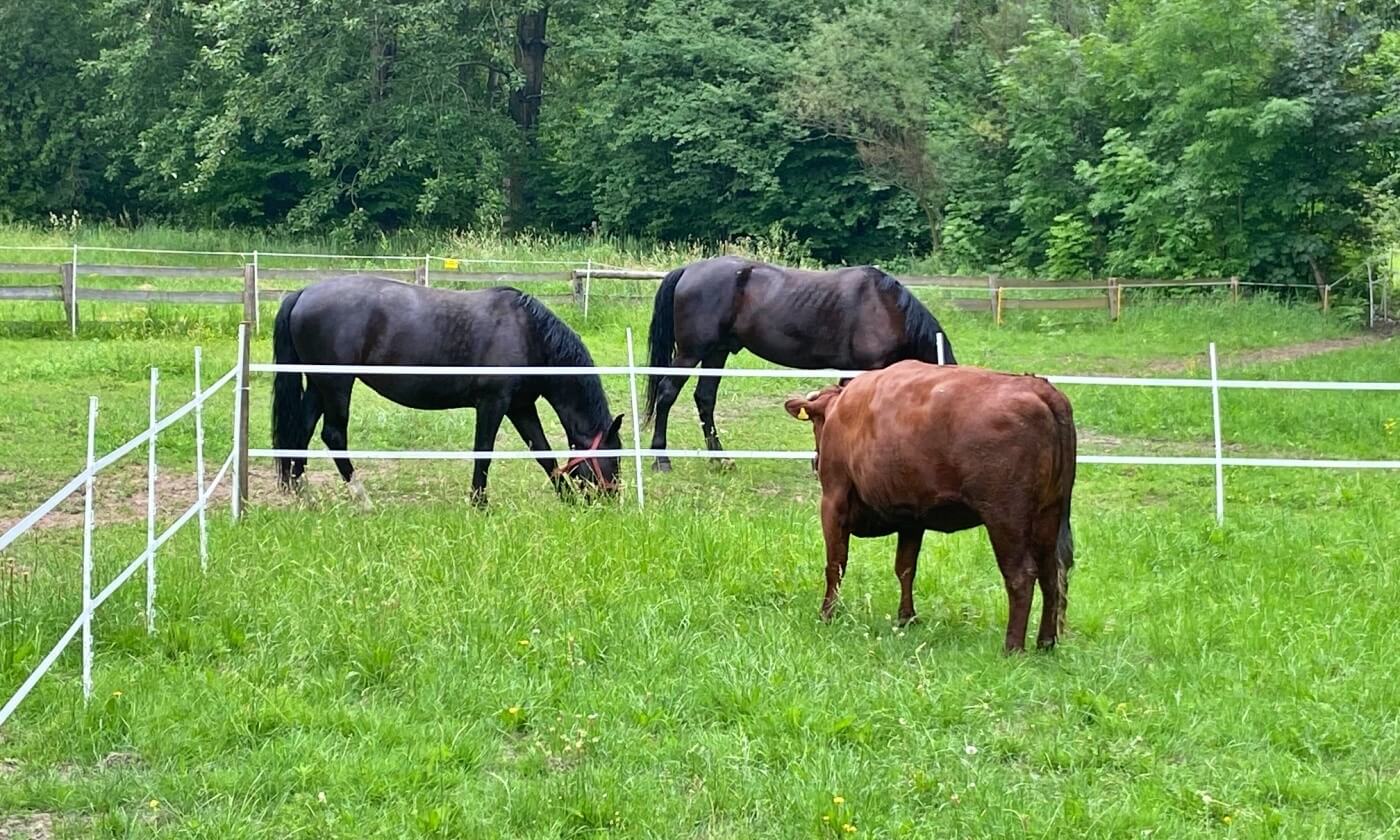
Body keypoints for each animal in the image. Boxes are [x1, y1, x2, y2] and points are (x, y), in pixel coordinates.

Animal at [273, 275, 624, 504]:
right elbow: (484, 451)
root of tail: (302, 293)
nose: (610, 501)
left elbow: (543, 453)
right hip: (336, 385)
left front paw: (567, 500)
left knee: (302, 431)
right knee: (333, 436)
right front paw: (479, 503)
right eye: (615, 456)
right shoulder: (493, 404)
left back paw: (304, 496)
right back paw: (363, 499)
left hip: (318, 385)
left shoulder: (520, 407)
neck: (528, 333)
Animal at [641, 252, 952, 470]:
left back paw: (720, 459)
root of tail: (687, 270)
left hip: (717, 352)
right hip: (691, 353)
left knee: (705, 398)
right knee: (667, 393)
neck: (886, 307)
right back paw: (661, 459)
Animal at [784, 357, 1075, 652]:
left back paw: (1012, 647)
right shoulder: (911, 517)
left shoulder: (833, 501)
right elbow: (905, 568)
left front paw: (827, 614)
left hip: (1006, 517)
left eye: (817, 424)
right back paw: (1046, 642)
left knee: (1021, 575)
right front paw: (907, 618)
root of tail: (1039, 387)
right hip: (1049, 511)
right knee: (1051, 574)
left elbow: (835, 564)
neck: (842, 410)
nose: (815, 461)